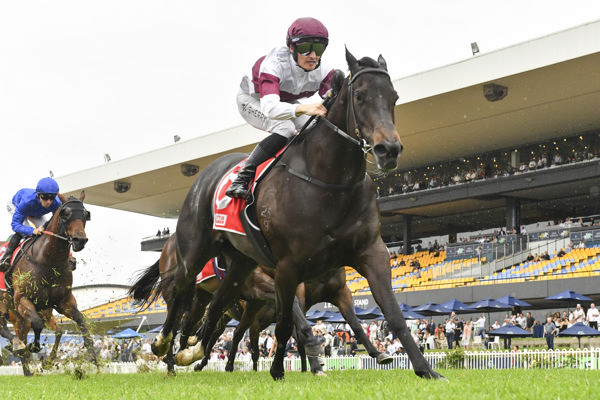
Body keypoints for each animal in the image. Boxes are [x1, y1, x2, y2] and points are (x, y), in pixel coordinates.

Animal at [7, 193, 97, 376]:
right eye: (65, 213)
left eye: (86, 214)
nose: (80, 240)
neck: (47, 262)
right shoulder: (22, 300)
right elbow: (37, 323)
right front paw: (34, 347)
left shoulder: (64, 301)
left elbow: (80, 321)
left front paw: (90, 354)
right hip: (15, 312)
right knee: (20, 335)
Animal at [169, 49, 440, 378]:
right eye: (360, 96)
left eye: (394, 97)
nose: (388, 149)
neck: (330, 181)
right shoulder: (288, 269)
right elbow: (288, 325)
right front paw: (281, 370)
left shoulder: (370, 254)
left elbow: (393, 314)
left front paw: (425, 370)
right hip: (194, 253)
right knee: (181, 295)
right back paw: (166, 347)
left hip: (240, 265)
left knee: (218, 307)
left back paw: (192, 351)